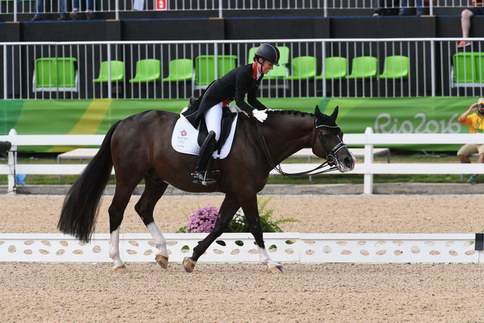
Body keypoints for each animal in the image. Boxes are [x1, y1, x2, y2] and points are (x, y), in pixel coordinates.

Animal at [58, 106, 354, 274]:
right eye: (326, 134)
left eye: (340, 132)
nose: (349, 161)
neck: (259, 140)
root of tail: (124, 122)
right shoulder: (246, 191)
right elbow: (256, 227)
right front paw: (271, 263)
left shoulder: (235, 193)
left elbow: (220, 225)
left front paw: (191, 259)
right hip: (128, 177)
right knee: (116, 210)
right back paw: (118, 261)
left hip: (156, 180)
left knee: (144, 208)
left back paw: (163, 253)